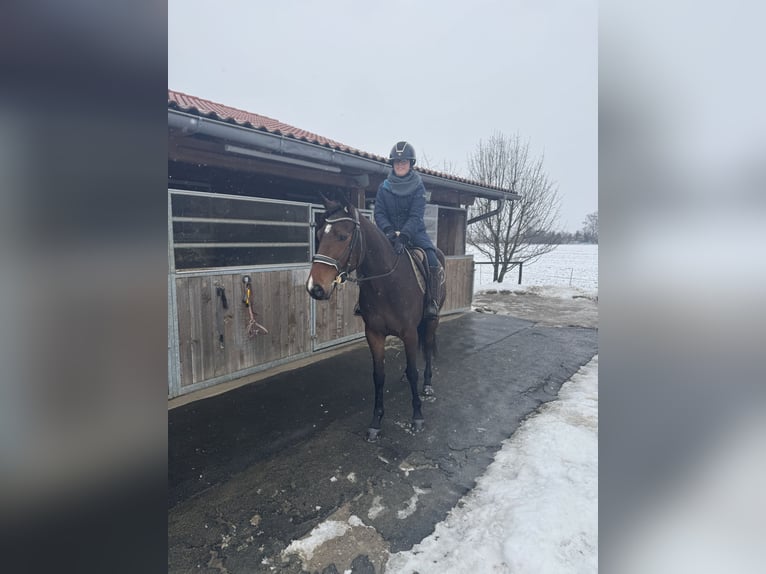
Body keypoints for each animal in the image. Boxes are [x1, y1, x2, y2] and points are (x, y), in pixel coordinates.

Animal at [306, 193, 446, 442]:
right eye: (320, 235)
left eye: (342, 236)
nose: (315, 288)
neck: (387, 283)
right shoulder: (374, 334)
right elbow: (378, 376)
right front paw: (376, 422)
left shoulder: (409, 333)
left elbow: (414, 372)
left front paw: (417, 417)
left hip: (431, 321)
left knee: (428, 348)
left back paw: (428, 384)